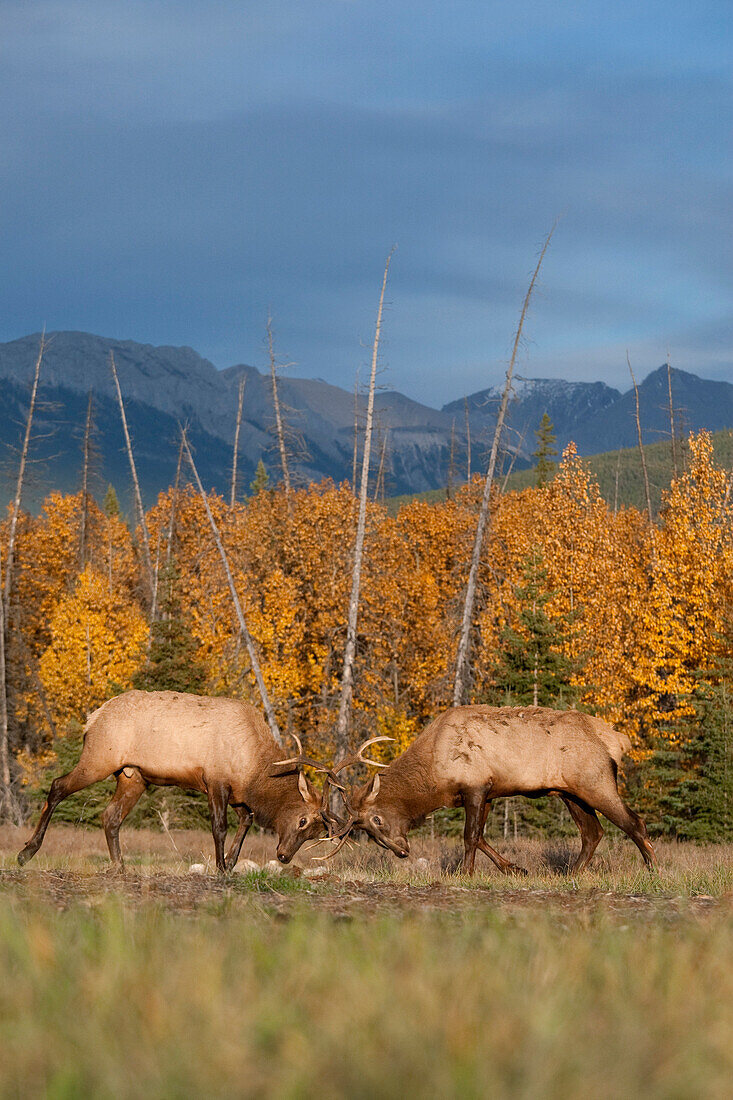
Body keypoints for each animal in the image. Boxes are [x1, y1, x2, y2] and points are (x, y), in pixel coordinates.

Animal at [16, 686, 336, 875]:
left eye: (315, 833)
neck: (255, 770)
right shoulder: (215, 780)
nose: (284, 856)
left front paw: (230, 864)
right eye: (303, 820)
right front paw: (220, 866)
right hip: (99, 758)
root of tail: (93, 718)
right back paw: (26, 852)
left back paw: (120, 865)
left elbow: (246, 820)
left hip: (133, 776)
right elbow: (219, 826)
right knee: (57, 787)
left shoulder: (237, 794)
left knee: (110, 816)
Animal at [325, 704, 655, 875]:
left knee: (634, 822)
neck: (435, 774)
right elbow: (482, 837)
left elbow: (470, 836)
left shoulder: (475, 786)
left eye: (377, 819)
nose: (402, 851)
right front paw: (514, 868)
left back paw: (652, 869)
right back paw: (571, 873)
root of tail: (617, 740)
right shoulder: (487, 793)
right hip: (570, 793)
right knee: (592, 833)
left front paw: (465, 873)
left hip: (595, 781)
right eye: (368, 833)